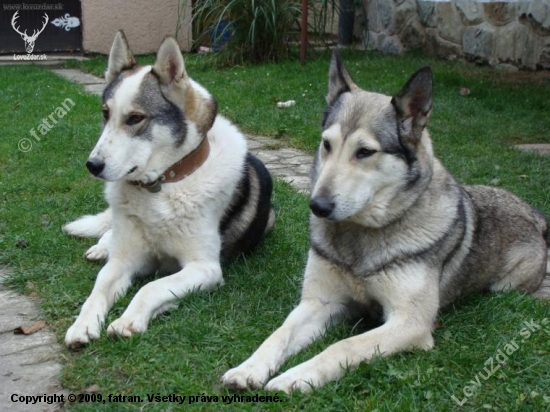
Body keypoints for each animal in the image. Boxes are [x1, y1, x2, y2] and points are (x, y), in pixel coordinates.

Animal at [64, 31, 276, 348]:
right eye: (105, 113)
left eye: (135, 118)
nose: (92, 165)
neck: (160, 186)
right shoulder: (124, 260)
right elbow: (97, 290)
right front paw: (82, 325)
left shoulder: (204, 267)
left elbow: (151, 287)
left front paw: (128, 320)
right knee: (109, 233)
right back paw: (101, 247)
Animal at [222, 50, 548, 392]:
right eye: (327, 144)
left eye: (365, 151)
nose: (317, 206)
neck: (361, 237)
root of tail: (533, 214)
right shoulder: (319, 302)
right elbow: (278, 334)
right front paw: (249, 368)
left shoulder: (409, 323)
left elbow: (343, 346)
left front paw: (296, 377)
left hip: (505, 286)